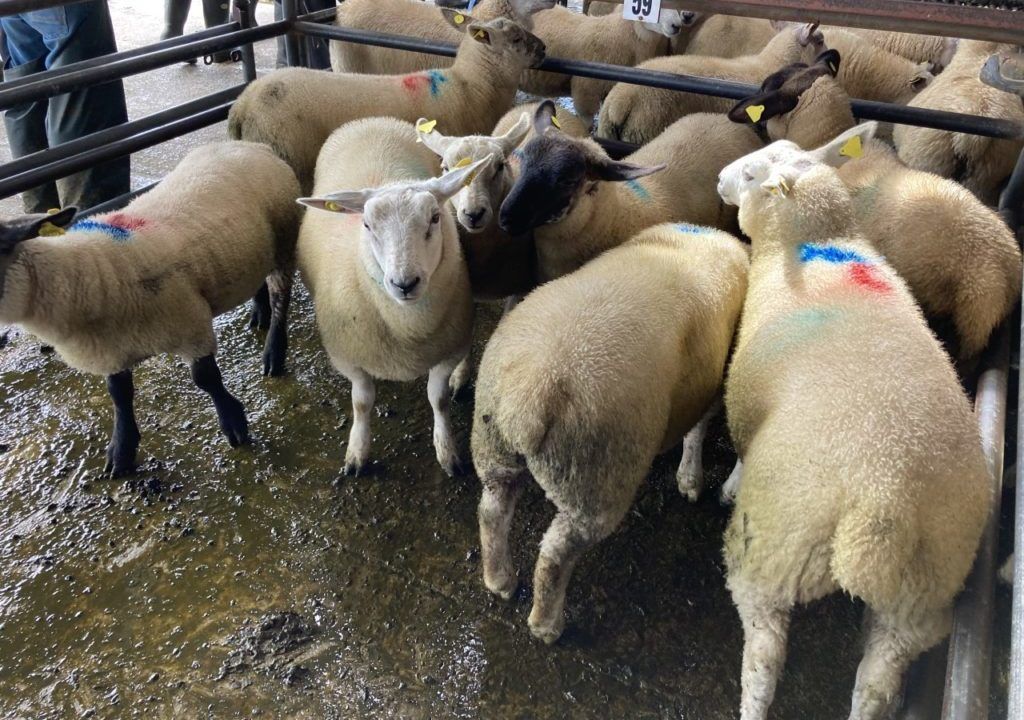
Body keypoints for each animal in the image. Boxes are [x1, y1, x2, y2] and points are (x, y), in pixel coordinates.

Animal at [0, 141, 300, 476]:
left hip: (284, 242)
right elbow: (119, 395)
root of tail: (250, 144)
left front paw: (234, 423)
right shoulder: (113, 351)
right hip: (249, 250)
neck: (92, 270)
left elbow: (205, 378)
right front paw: (122, 449)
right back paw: (259, 314)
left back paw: (274, 350)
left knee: (280, 296)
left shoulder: (190, 324)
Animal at [297, 117, 490, 476]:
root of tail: (371, 119)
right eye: (367, 225)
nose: (404, 283)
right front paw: (358, 451)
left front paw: (447, 450)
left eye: (435, 218)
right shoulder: (349, 356)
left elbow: (438, 399)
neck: (407, 328)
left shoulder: (448, 350)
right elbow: (361, 402)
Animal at [472, 221, 749, 643]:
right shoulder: (714, 377)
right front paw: (690, 476)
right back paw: (546, 624)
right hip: (594, 478)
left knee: (492, 511)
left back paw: (499, 579)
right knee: (555, 554)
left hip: (494, 448)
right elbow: (698, 428)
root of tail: (530, 396)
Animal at [717, 124, 990, 720]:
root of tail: (881, 506)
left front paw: (728, 482)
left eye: (751, 175)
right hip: (922, 591)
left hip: (773, 545)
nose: (720, 179)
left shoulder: (743, 398)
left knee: (765, 651)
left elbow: (741, 448)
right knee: (878, 676)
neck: (818, 242)